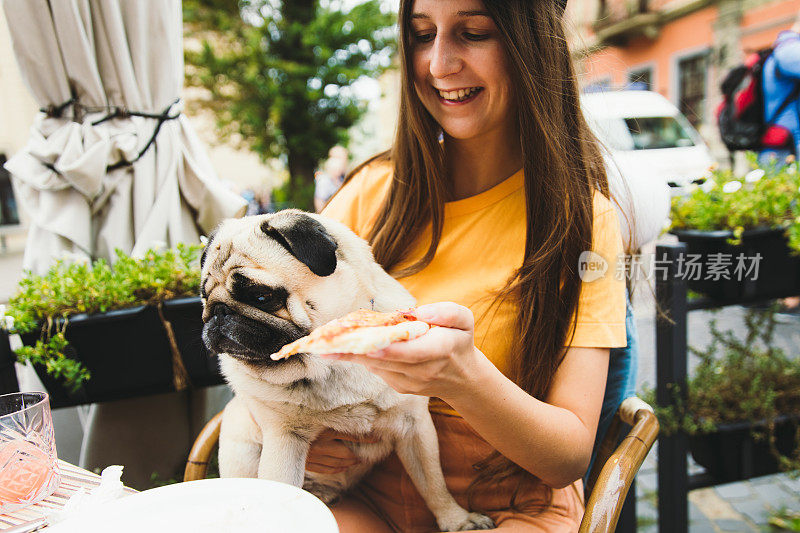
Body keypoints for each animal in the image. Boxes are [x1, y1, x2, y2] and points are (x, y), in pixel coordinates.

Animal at [198, 210, 494, 528]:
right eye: (204, 297)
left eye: (261, 296)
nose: (217, 313)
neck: (329, 365)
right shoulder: (283, 441)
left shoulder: (416, 427)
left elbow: (433, 483)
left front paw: (456, 520)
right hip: (242, 450)